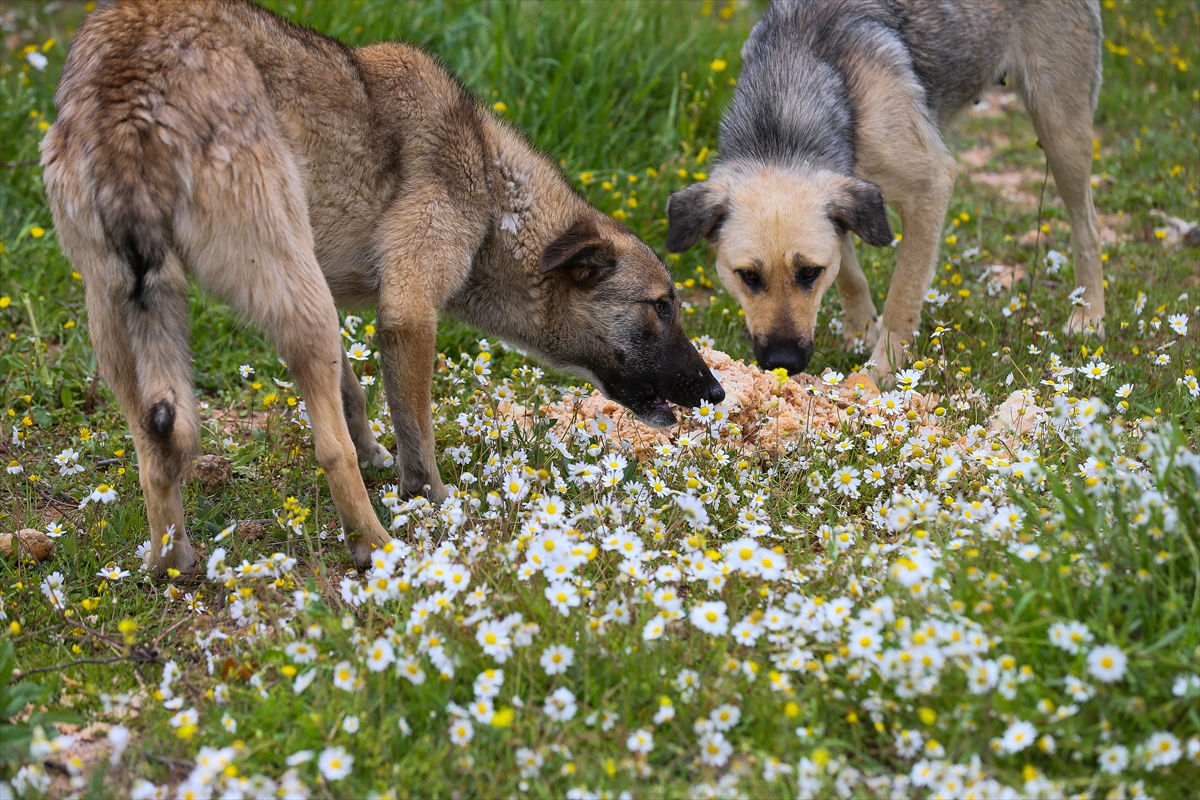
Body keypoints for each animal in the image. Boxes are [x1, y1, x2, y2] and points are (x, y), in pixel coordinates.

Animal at [44, 0, 720, 575]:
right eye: (662, 306)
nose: (715, 392)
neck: (494, 189)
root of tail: (130, 80)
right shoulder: (408, 312)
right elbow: (415, 432)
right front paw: (432, 500)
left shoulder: (341, 303)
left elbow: (355, 397)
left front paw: (380, 459)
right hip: (293, 299)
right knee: (328, 451)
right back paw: (376, 546)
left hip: (129, 317)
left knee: (155, 450)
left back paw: (170, 562)